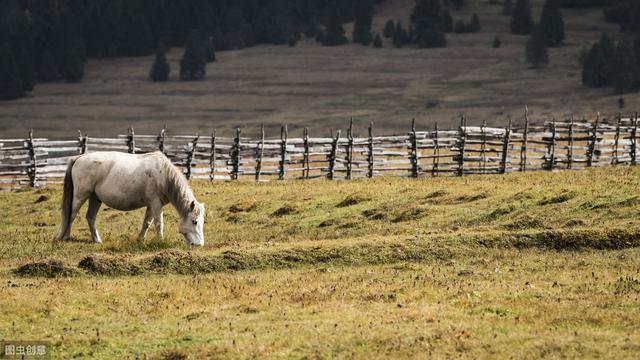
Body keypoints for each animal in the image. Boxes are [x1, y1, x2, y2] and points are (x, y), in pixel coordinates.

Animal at [55, 150, 206, 246]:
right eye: (194, 222)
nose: (199, 244)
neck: (164, 176)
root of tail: (79, 158)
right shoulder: (156, 203)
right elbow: (159, 223)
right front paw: (160, 241)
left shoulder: (151, 205)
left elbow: (147, 223)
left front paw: (141, 240)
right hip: (80, 195)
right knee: (71, 215)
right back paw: (66, 237)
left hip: (95, 198)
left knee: (90, 217)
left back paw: (97, 240)